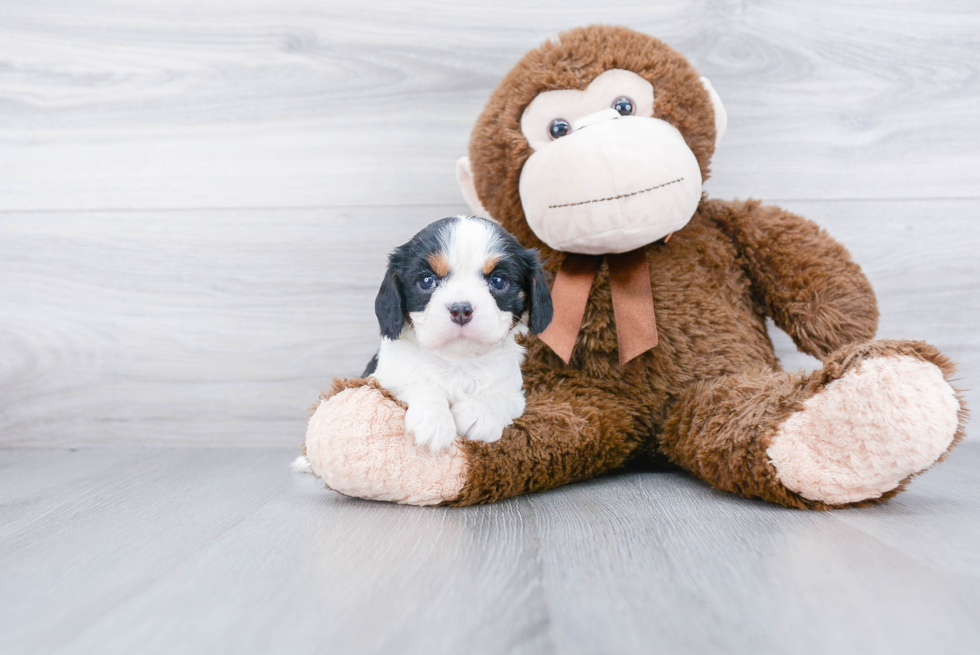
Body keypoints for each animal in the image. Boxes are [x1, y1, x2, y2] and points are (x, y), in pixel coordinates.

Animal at [364, 215, 556, 452]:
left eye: (498, 281)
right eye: (427, 281)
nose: (461, 310)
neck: (459, 362)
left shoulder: (514, 392)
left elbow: (501, 397)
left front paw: (479, 413)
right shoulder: (381, 379)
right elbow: (418, 384)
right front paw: (434, 420)